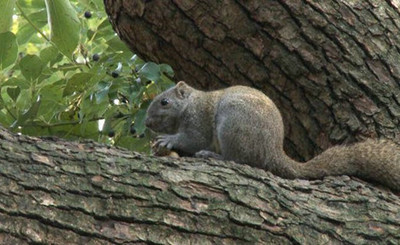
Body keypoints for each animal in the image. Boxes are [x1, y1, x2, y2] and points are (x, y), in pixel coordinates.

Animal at [145, 81, 400, 190]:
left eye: (164, 102)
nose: (147, 122)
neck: (189, 105)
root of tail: (273, 152)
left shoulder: (198, 121)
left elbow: (193, 139)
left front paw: (168, 140)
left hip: (233, 123)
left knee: (240, 159)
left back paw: (212, 156)